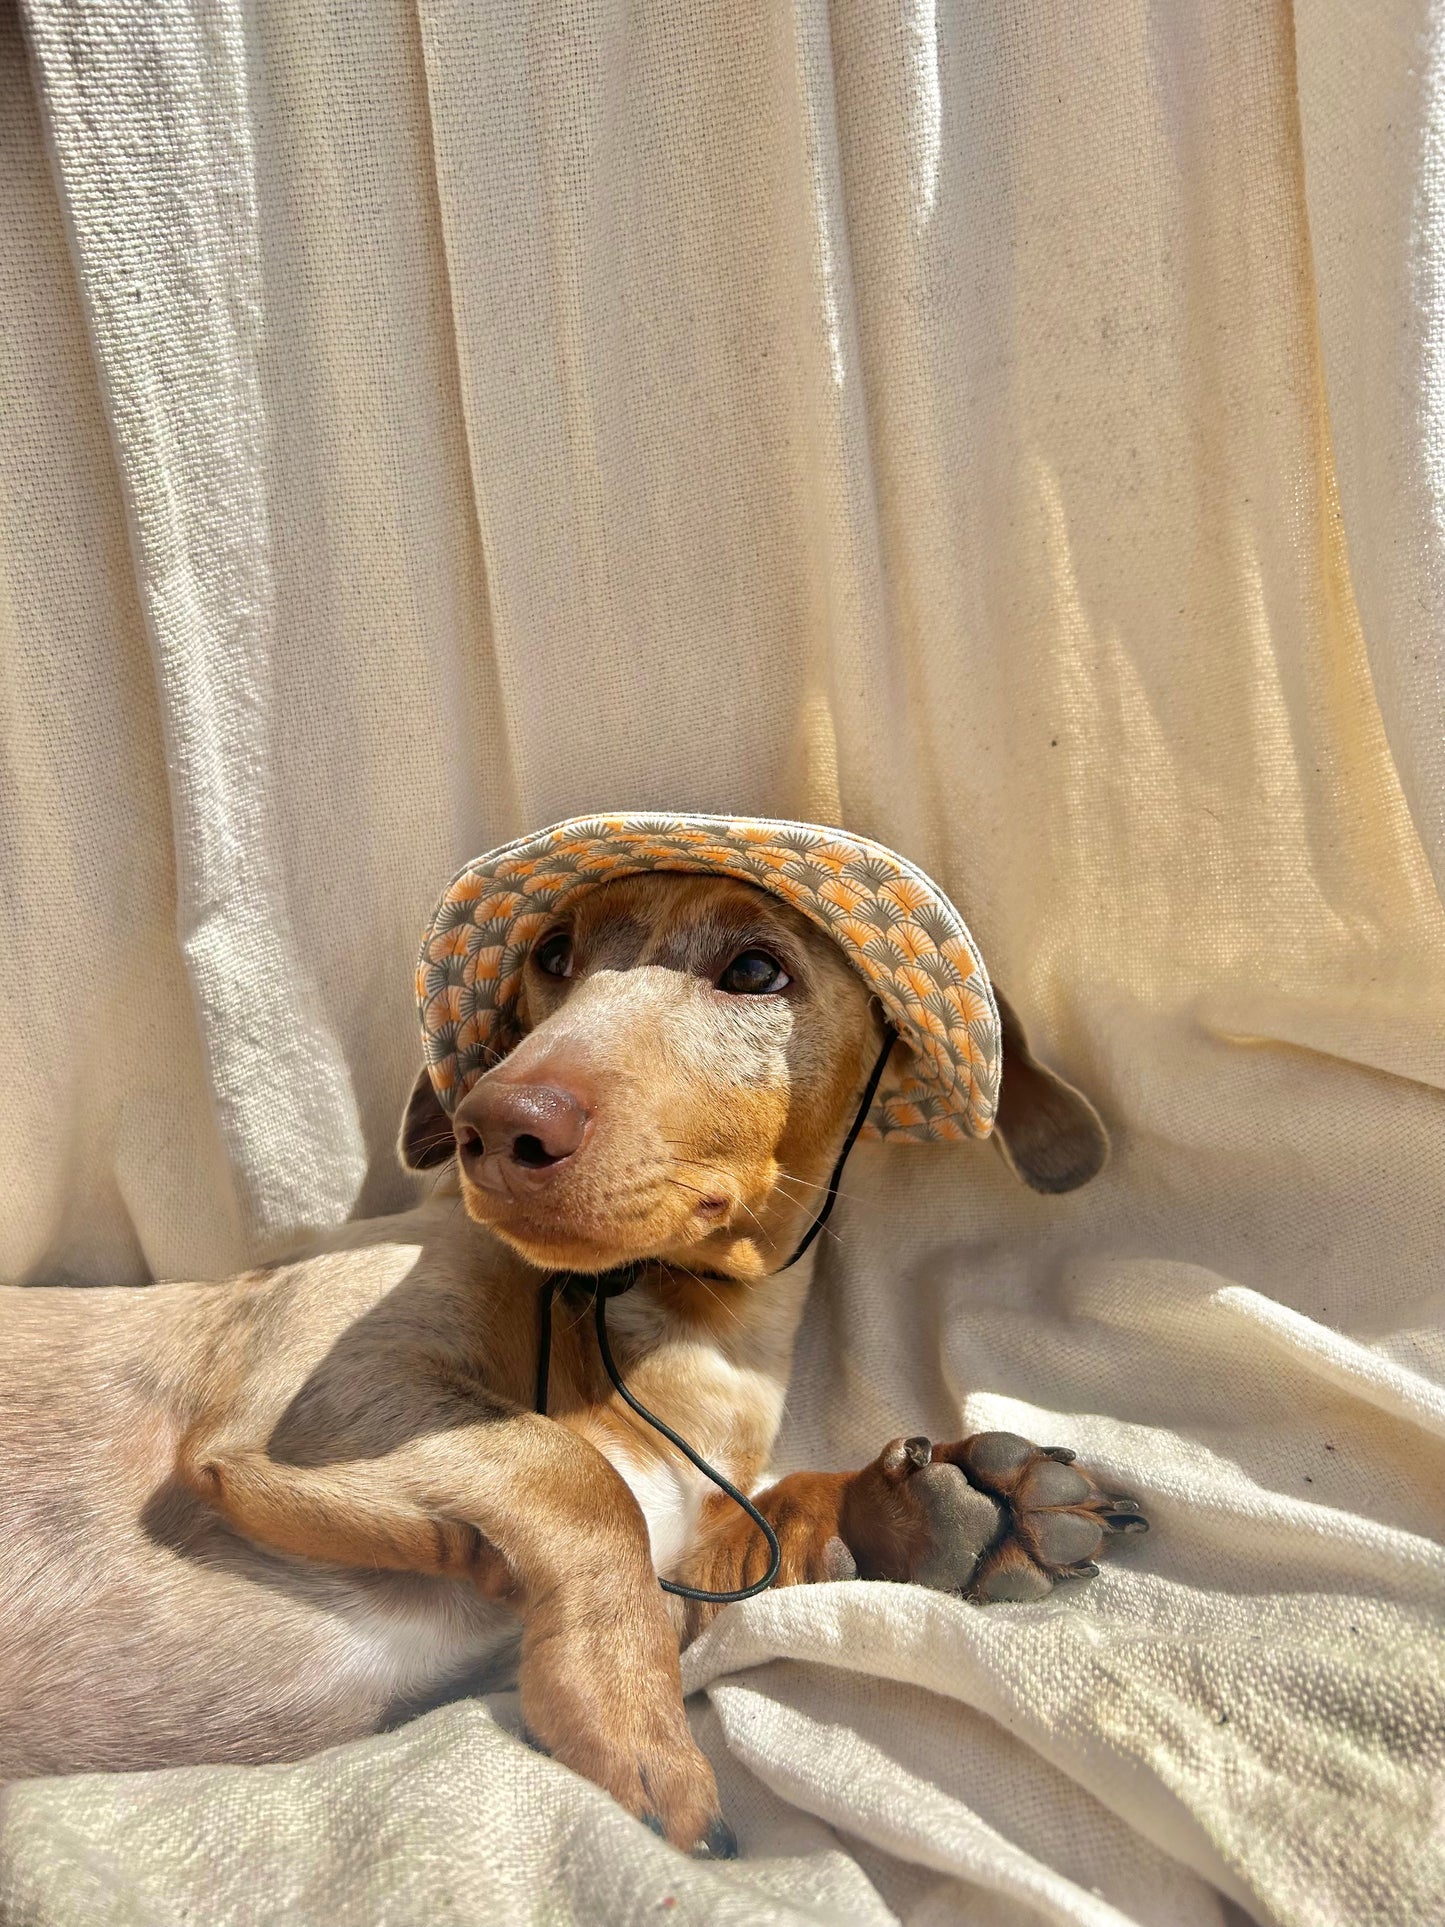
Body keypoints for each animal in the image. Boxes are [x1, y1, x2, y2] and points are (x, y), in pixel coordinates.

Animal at [5, 871, 1148, 1849]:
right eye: (553, 954)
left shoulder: (684, 1562)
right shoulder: (321, 1387)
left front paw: (934, 1510)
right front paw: (637, 1730)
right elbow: (578, 1475)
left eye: (755, 969)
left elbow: (747, 1516)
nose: (493, 1125)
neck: (683, 1332)